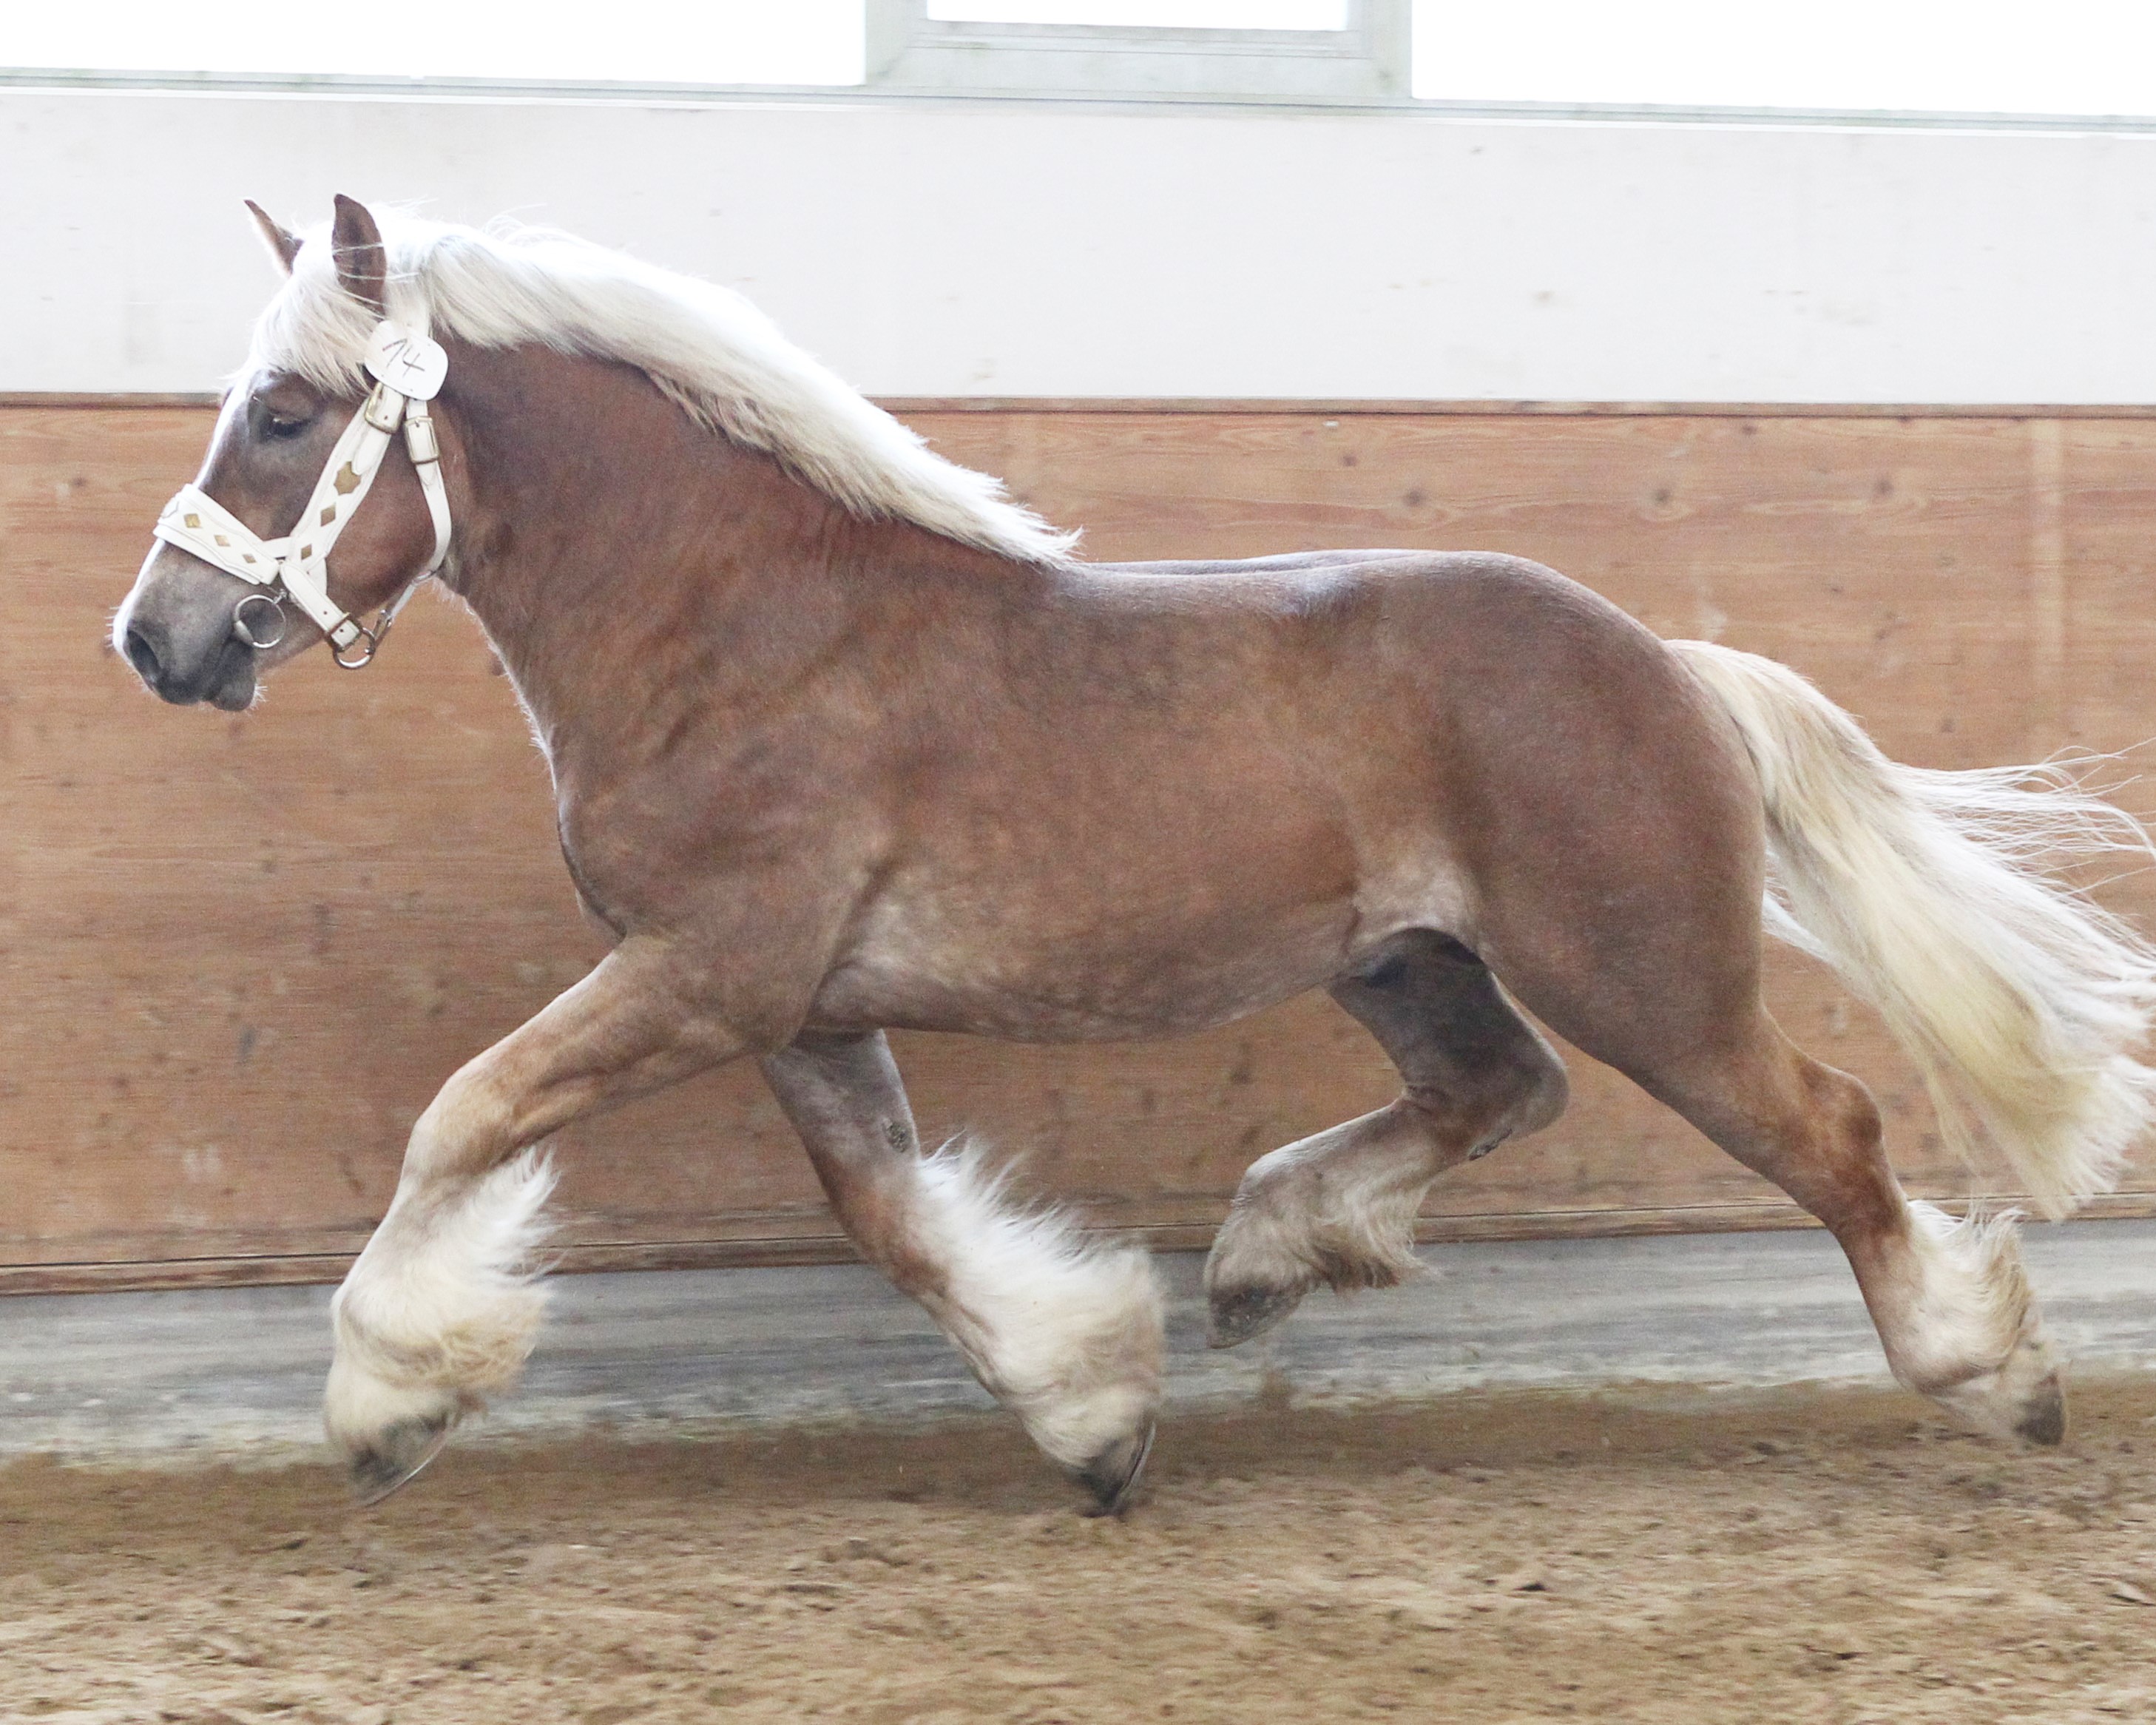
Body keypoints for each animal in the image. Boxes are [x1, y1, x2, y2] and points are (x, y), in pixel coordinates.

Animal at [113, 192, 2156, 1509]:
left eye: (283, 412)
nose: (159, 640)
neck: (741, 625)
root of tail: (1668, 661)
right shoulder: (797, 1005)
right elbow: (891, 1215)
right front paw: (1094, 1411)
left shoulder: (709, 971)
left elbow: (463, 1112)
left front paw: (382, 1403)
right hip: (1409, 961)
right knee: (1500, 1092)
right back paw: (1261, 1255)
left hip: (1647, 972)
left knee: (1831, 1133)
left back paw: (1997, 1377)